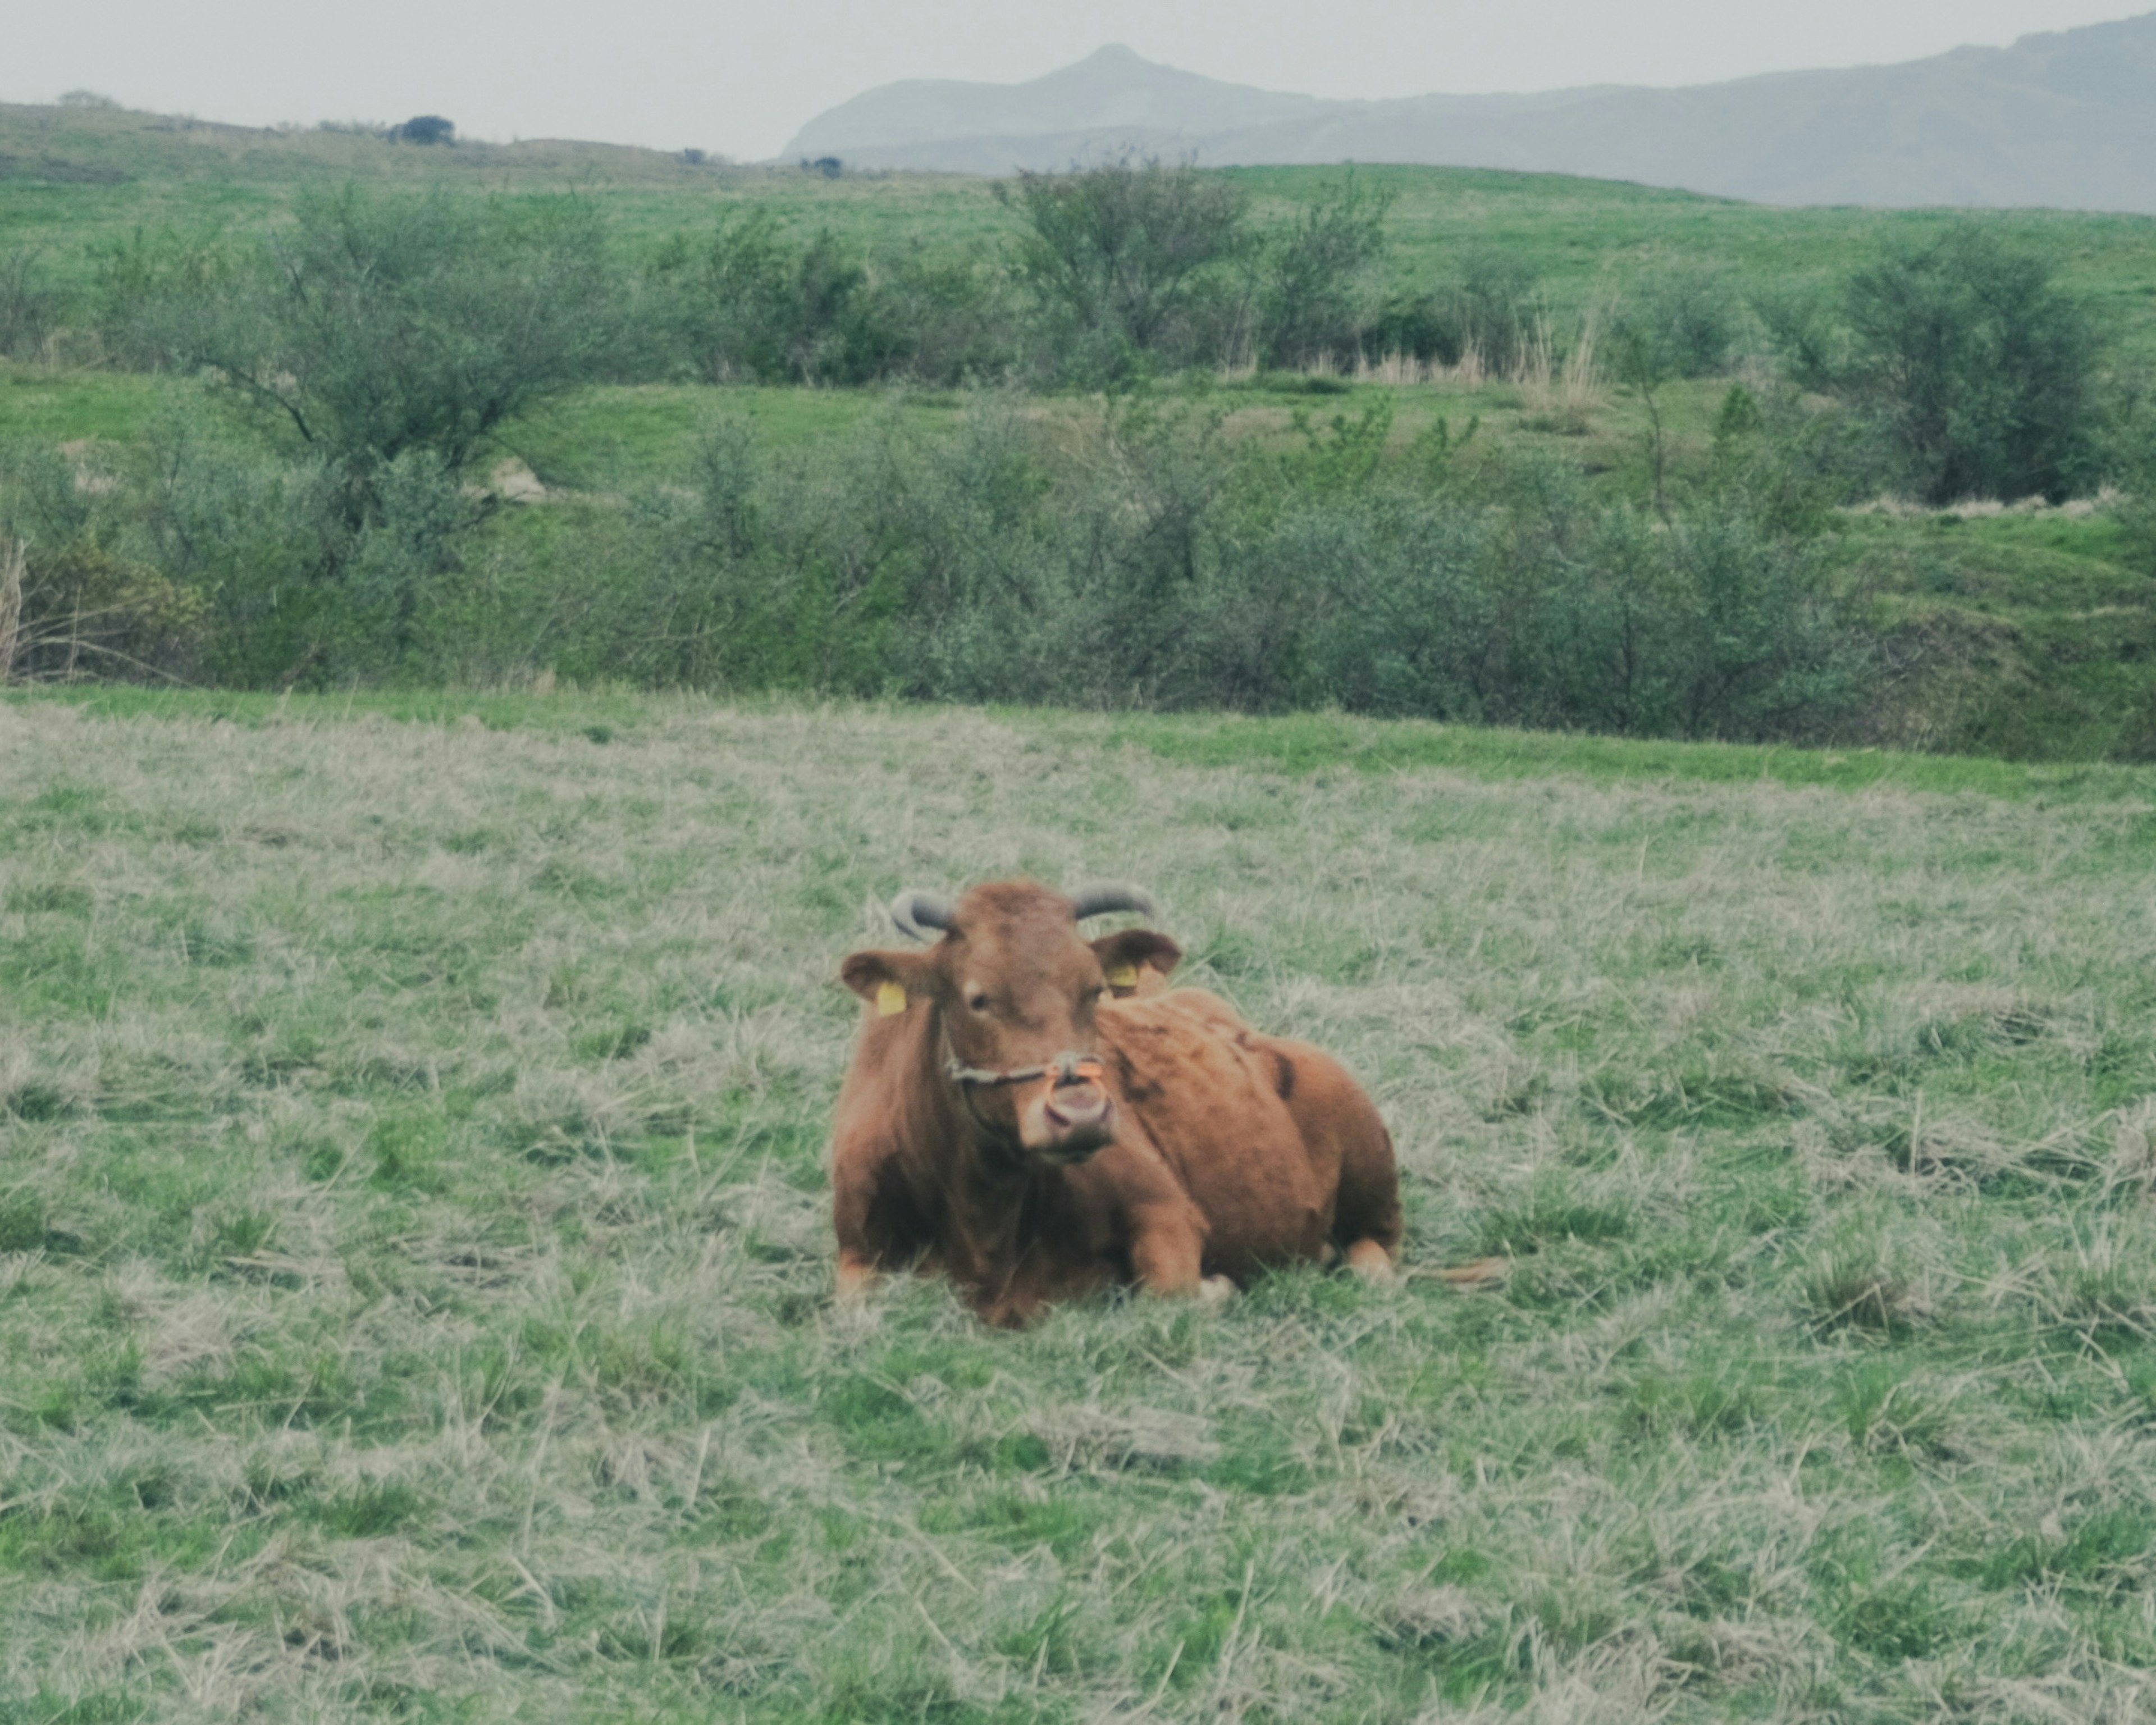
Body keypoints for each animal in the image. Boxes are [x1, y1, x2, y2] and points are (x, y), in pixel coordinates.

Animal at [819, 884, 1397, 1328]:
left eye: (1094, 990)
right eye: (978, 998)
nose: (1080, 1115)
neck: (984, 1219)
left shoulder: (1166, 1210)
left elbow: (1169, 1298)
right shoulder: (856, 1250)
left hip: (1372, 1173)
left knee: (1378, 1250)